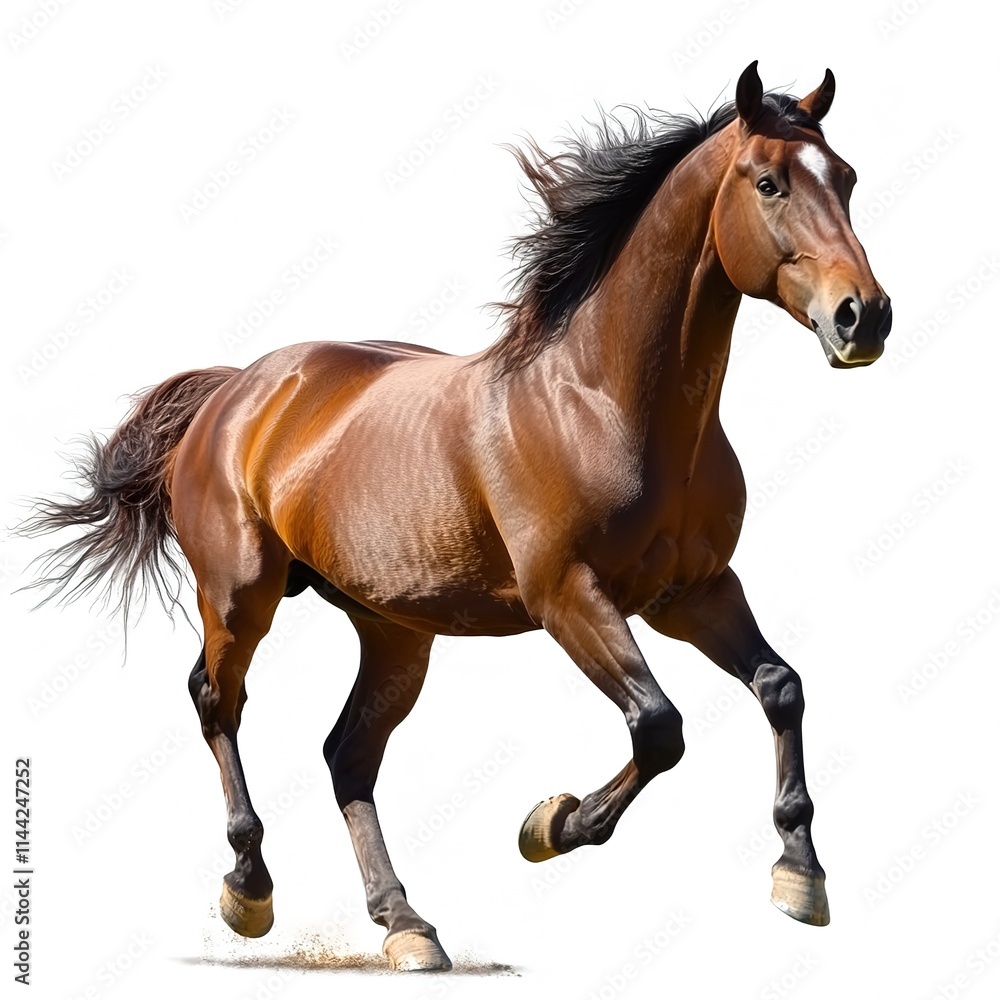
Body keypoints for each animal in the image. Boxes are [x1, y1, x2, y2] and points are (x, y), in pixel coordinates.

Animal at [22, 61, 891, 971]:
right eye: (769, 182)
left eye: (847, 178)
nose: (864, 316)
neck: (603, 402)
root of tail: (235, 390)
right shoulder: (568, 597)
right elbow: (659, 726)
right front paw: (550, 824)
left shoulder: (695, 591)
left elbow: (780, 686)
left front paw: (800, 876)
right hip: (239, 596)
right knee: (216, 702)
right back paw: (249, 890)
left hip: (394, 629)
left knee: (347, 755)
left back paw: (407, 926)